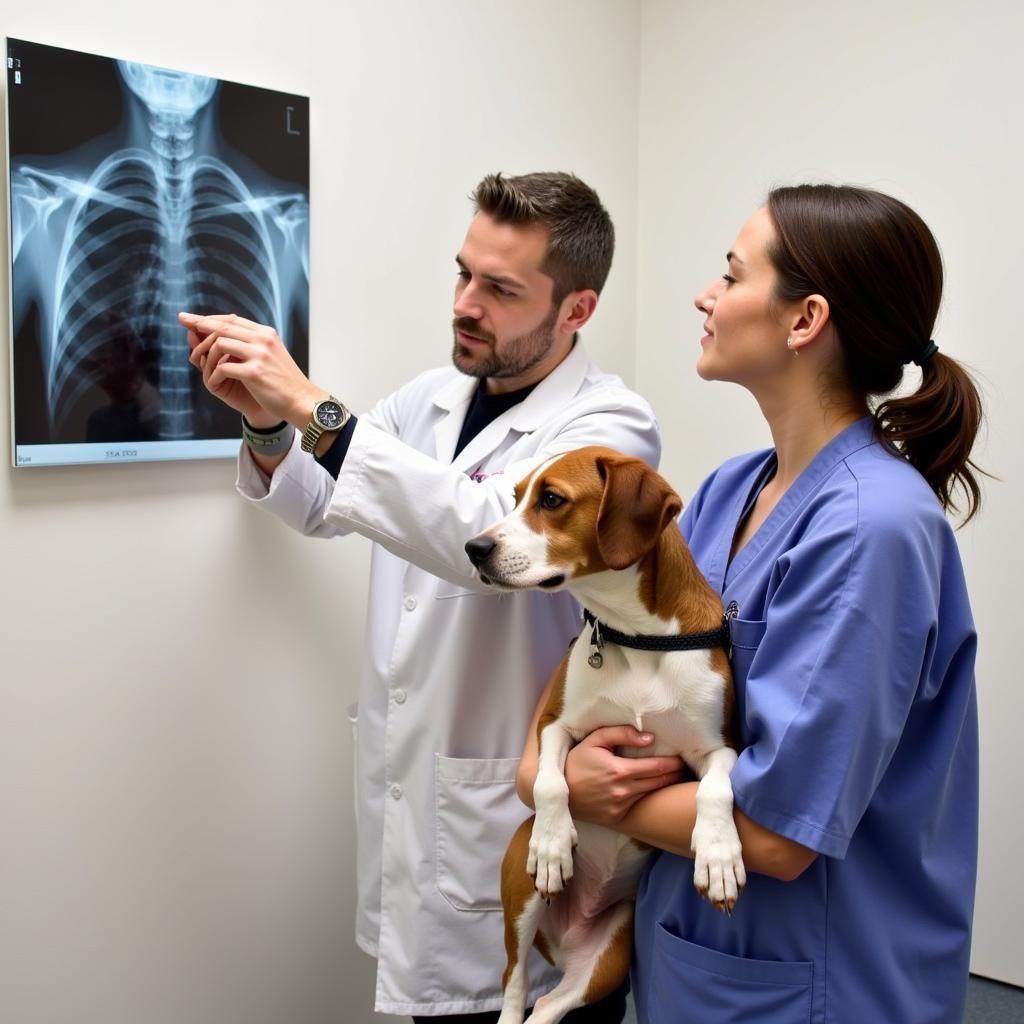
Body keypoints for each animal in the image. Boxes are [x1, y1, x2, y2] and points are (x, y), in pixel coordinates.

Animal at [464, 446, 745, 1024]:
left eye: (551, 500)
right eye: (515, 496)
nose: (474, 547)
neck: (637, 638)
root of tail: (565, 937)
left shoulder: (718, 747)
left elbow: (715, 790)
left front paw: (719, 856)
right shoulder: (555, 725)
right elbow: (551, 781)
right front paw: (553, 844)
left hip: (609, 956)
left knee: (549, 1007)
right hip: (520, 891)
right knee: (514, 983)